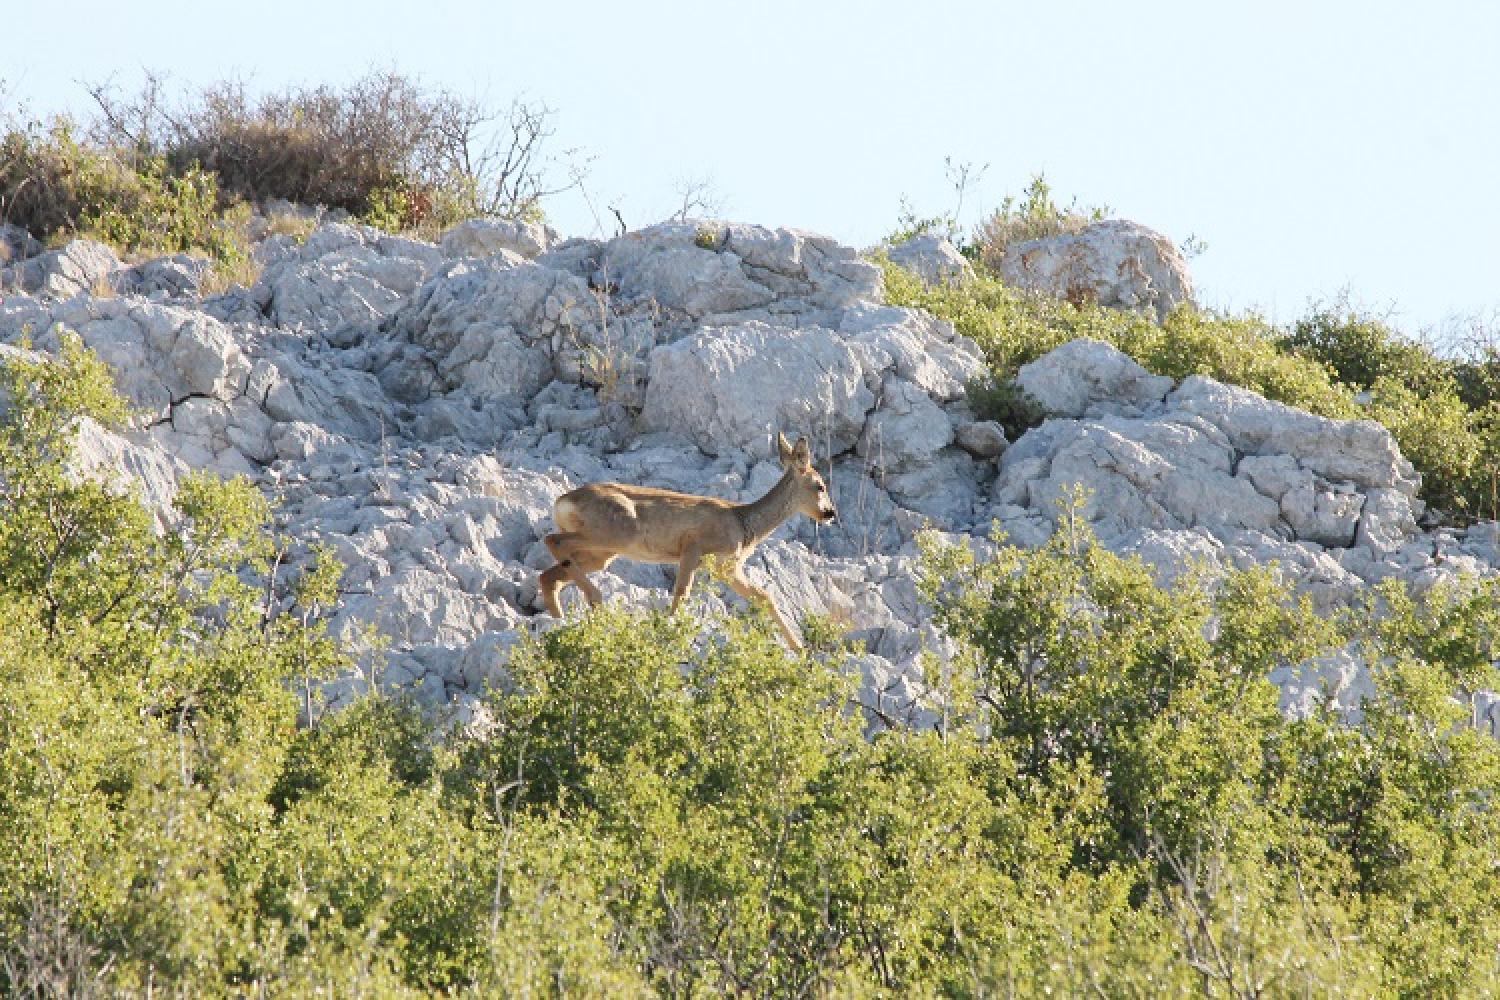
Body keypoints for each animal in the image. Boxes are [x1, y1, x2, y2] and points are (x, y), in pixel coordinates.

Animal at [540, 434, 840, 653]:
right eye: (820, 485)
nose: (830, 513)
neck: (744, 524)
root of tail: (563, 501)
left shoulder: (727, 568)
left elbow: (764, 597)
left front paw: (799, 650)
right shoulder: (694, 546)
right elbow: (681, 592)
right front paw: (670, 631)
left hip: (602, 552)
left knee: (549, 574)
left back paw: (559, 620)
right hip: (617, 532)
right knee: (552, 540)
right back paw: (595, 598)